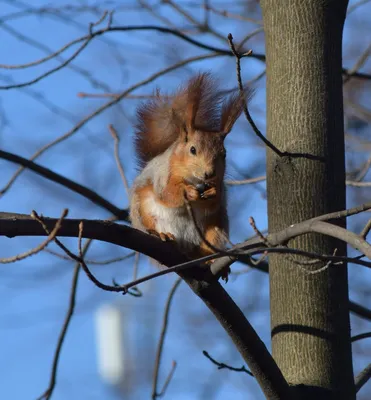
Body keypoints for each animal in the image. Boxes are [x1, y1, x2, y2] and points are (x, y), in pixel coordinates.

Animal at [130, 71, 250, 272]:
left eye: (224, 154)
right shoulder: (162, 175)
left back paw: (210, 260)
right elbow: (167, 194)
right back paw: (162, 235)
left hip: (215, 228)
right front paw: (187, 192)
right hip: (143, 210)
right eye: (192, 150)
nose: (209, 173)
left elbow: (215, 200)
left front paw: (212, 192)